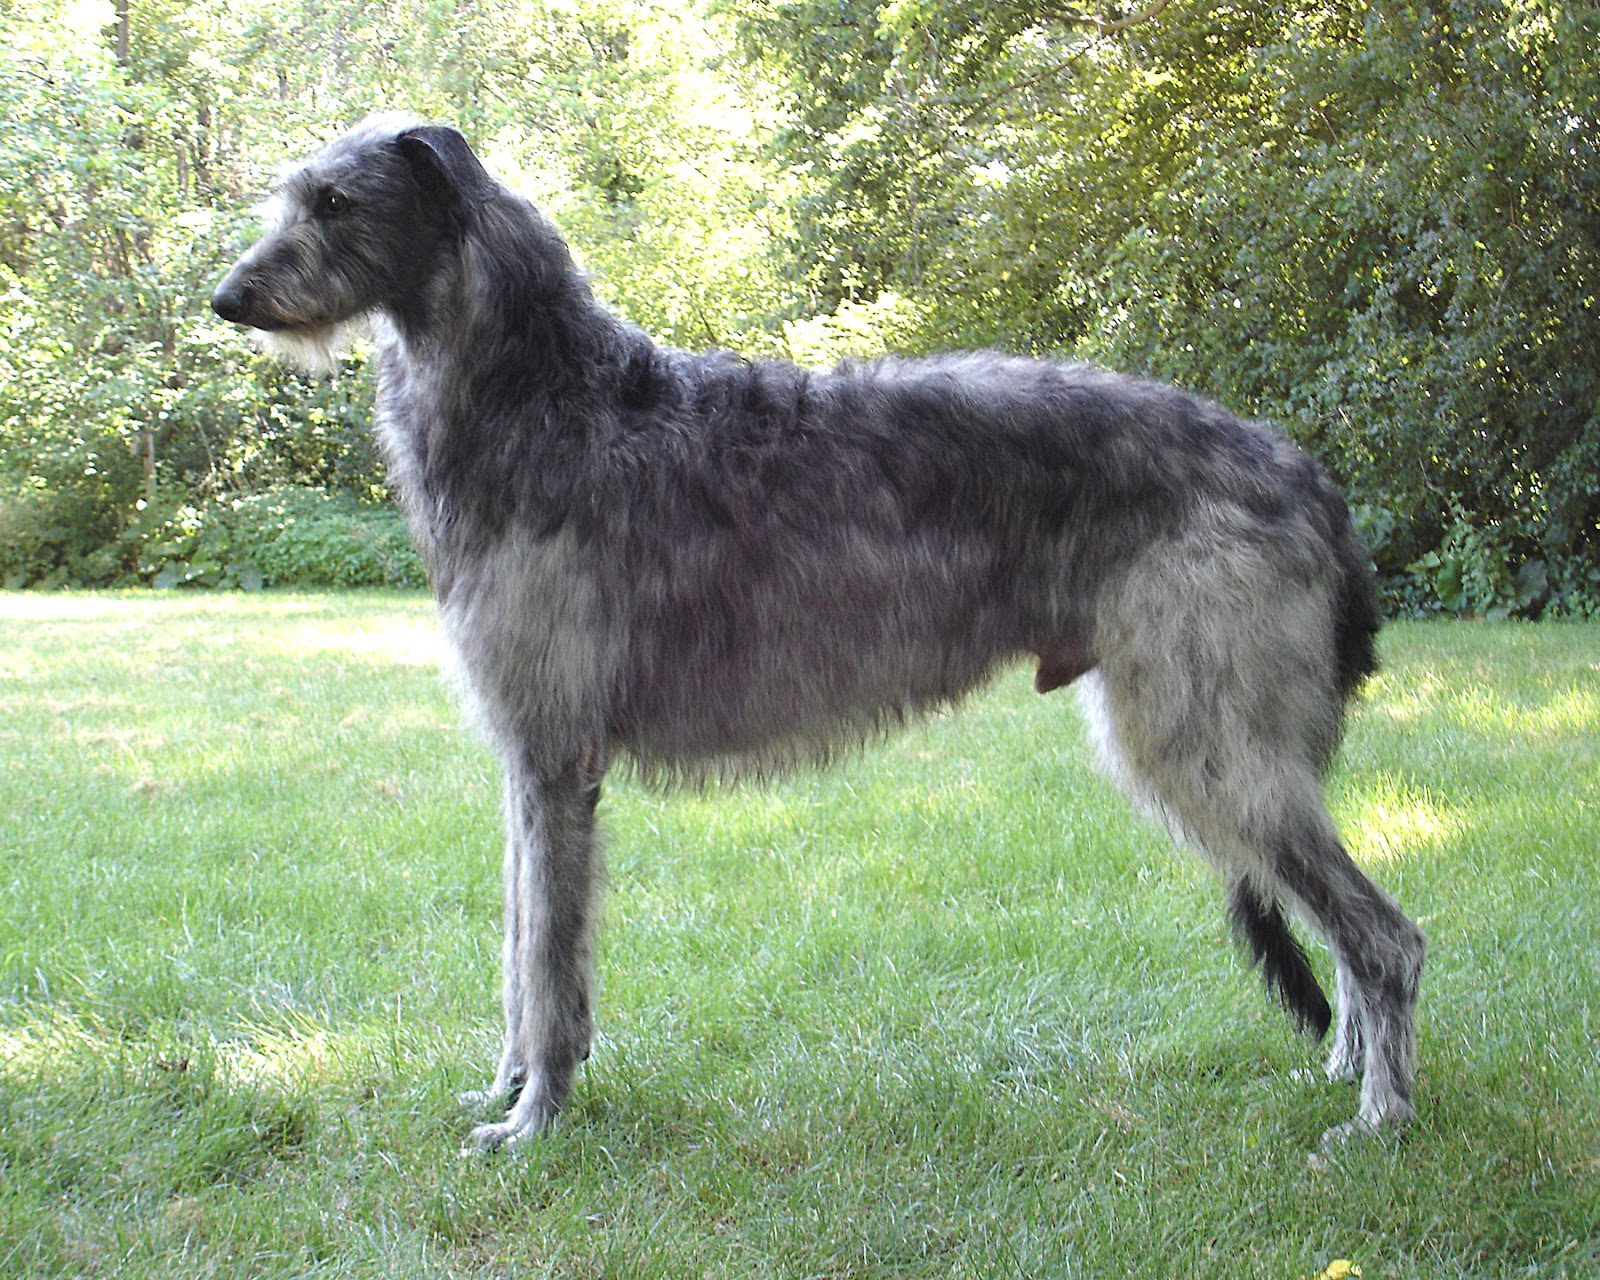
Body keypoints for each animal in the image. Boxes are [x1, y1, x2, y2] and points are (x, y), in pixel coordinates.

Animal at [209, 112, 1427, 1152]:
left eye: (337, 201)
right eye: (293, 194)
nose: (227, 296)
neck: (550, 397)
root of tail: (1306, 474)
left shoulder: (557, 755)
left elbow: (549, 966)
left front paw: (535, 1120)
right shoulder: (528, 760)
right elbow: (520, 948)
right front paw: (505, 1087)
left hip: (1198, 728)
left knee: (1386, 935)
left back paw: (1379, 1117)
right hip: (1235, 733)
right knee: (1340, 922)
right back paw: (1348, 1070)